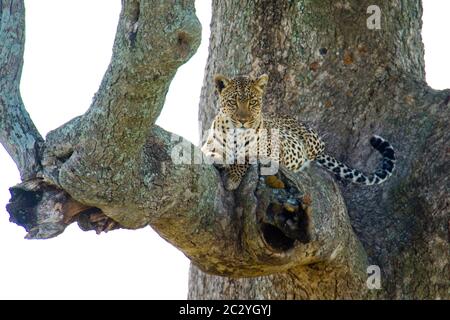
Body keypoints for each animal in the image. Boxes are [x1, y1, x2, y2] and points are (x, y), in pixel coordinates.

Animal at [202, 74, 396, 191]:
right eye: (233, 102)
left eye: (253, 102)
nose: (243, 120)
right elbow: (210, 151)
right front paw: (218, 158)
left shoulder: (275, 150)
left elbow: (246, 157)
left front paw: (232, 178)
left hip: (308, 142)